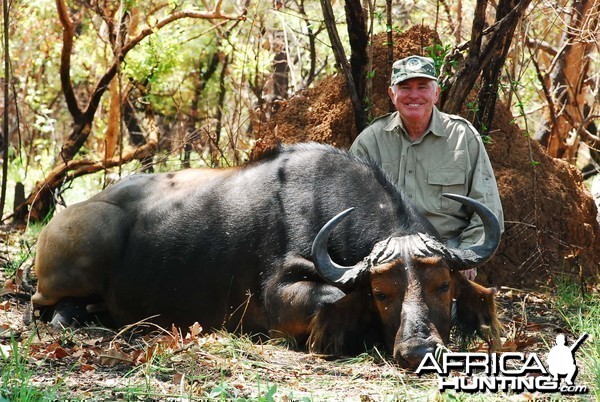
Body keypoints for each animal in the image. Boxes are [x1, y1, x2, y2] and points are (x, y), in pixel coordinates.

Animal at [32, 142, 502, 368]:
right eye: (382, 294)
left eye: (443, 286)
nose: (420, 351)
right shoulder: (282, 296)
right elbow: (332, 297)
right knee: (43, 303)